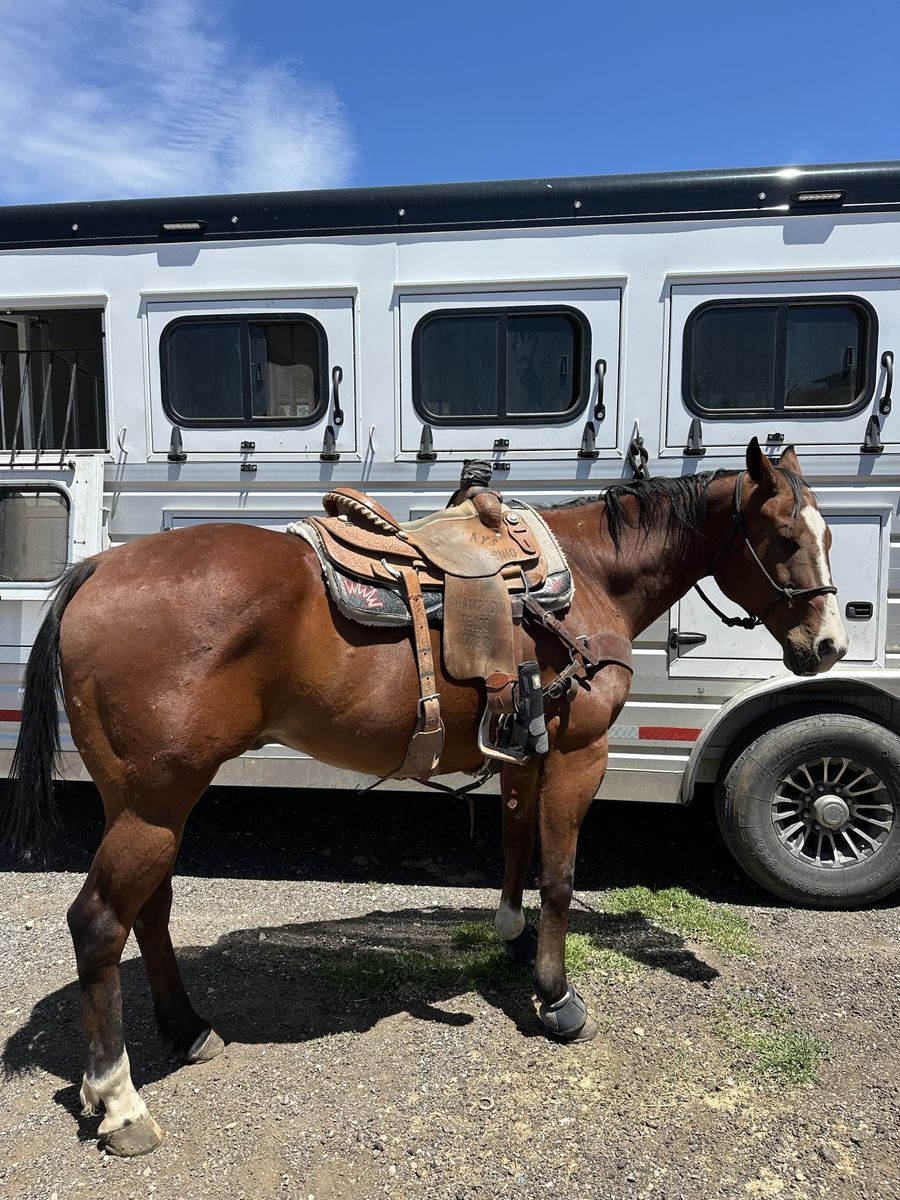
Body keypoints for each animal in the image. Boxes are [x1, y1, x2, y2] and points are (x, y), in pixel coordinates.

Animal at [4, 437, 847, 1156]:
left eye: (828, 534)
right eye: (781, 536)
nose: (829, 646)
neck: (589, 578)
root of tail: (97, 571)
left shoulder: (525, 752)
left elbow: (514, 847)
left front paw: (513, 938)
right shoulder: (581, 754)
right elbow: (561, 877)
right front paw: (556, 998)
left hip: (144, 802)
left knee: (150, 912)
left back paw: (186, 1030)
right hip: (153, 803)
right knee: (99, 923)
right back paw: (120, 1102)